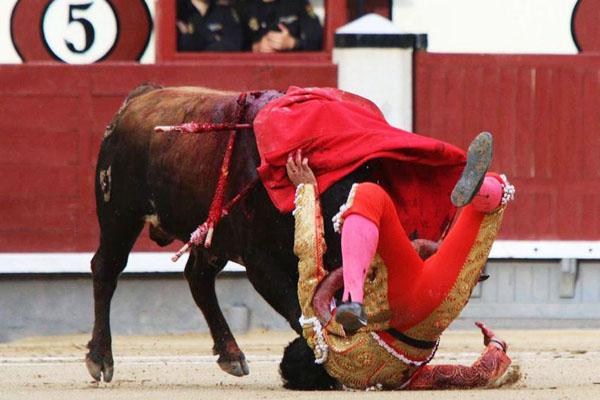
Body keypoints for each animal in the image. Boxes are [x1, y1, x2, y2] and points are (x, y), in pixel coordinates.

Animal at [86, 85, 364, 382]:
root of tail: (142, 95)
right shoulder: (261, 262)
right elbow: (297, 311)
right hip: (120, 215)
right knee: (106, 268)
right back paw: (100, 359)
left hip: (213, 236)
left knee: (198, 279)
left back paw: (231, 355)